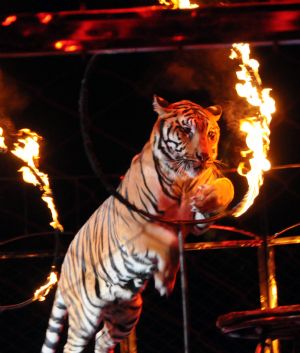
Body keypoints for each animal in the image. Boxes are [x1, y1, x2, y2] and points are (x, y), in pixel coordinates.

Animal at [41, 95, 234, 352]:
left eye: (211, 134)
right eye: (186, 130)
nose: (204, 156)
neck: (182, 180)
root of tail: (63, 270)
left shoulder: (198, 223)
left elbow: (227, 187)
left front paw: (205, 198)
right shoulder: (134, 225)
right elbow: (166, 239)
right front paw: (166, 278)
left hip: (126, 313)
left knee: (102, 338)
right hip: (84, 316)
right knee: (71, 345)